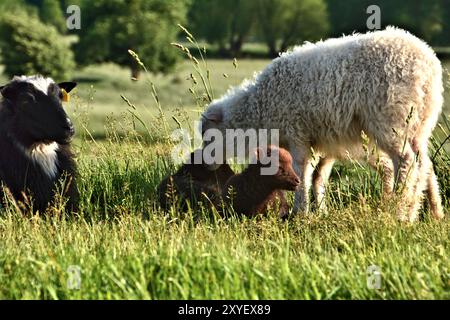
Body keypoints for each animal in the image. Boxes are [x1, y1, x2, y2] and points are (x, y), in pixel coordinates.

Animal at [202, 26, 444, 222]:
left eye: (208, 137)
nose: (205, 164)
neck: (260, 105)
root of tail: (428, 66)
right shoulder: (319, 140)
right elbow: (317, 176)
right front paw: (319, 210)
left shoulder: (297, 131)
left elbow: (301, 171)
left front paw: (300, 211)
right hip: (419, 124)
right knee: (424, 164)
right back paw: (431, 212)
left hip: (392, 120)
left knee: (406, 162)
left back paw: (400, 210)